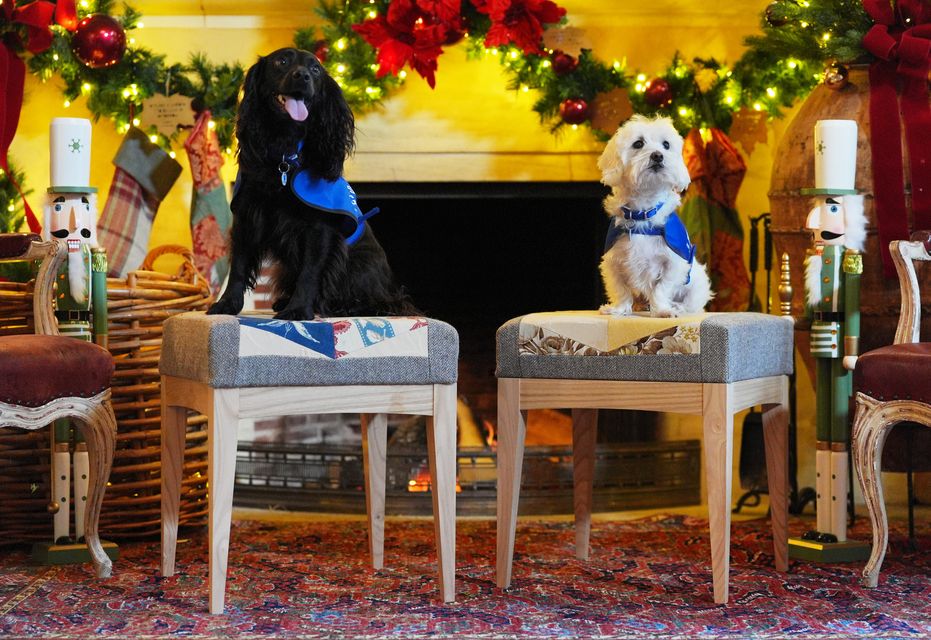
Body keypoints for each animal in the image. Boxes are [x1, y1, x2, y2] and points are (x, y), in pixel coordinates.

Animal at [211, 47, 418, 320]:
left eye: (316, 69)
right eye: (281, 61)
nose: (303, 76)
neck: (284, 158)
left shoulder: (318, 228)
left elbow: (309, 272)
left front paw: (298, 309)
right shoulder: (247, 215)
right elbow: (239, 265)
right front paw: (226, 304)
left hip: (362, 267)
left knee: (383, 303)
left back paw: (345, 305)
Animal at [596, 114, 712, 318]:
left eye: (666, 145)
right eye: (638, 143)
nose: (657, 155)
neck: (643, 213)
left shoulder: (675, 263)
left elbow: (661, 288)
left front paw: (663, 310)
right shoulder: (612, 261)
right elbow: (620, 289)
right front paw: (618, 309)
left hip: (697, 284)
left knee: (692, 304)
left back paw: (677, 307)